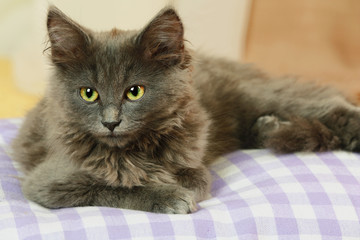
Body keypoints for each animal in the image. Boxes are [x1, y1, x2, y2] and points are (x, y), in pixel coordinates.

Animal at [12, 5, 360, 213]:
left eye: (134, 92)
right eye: (89, 94)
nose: (111, 122)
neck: (136, 148)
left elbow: (194, 178)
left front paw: (175, 186)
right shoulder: (50, 183)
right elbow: (111, 187)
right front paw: (166, 195)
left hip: (256, 95)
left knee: (325, 104)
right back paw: (270, 127)